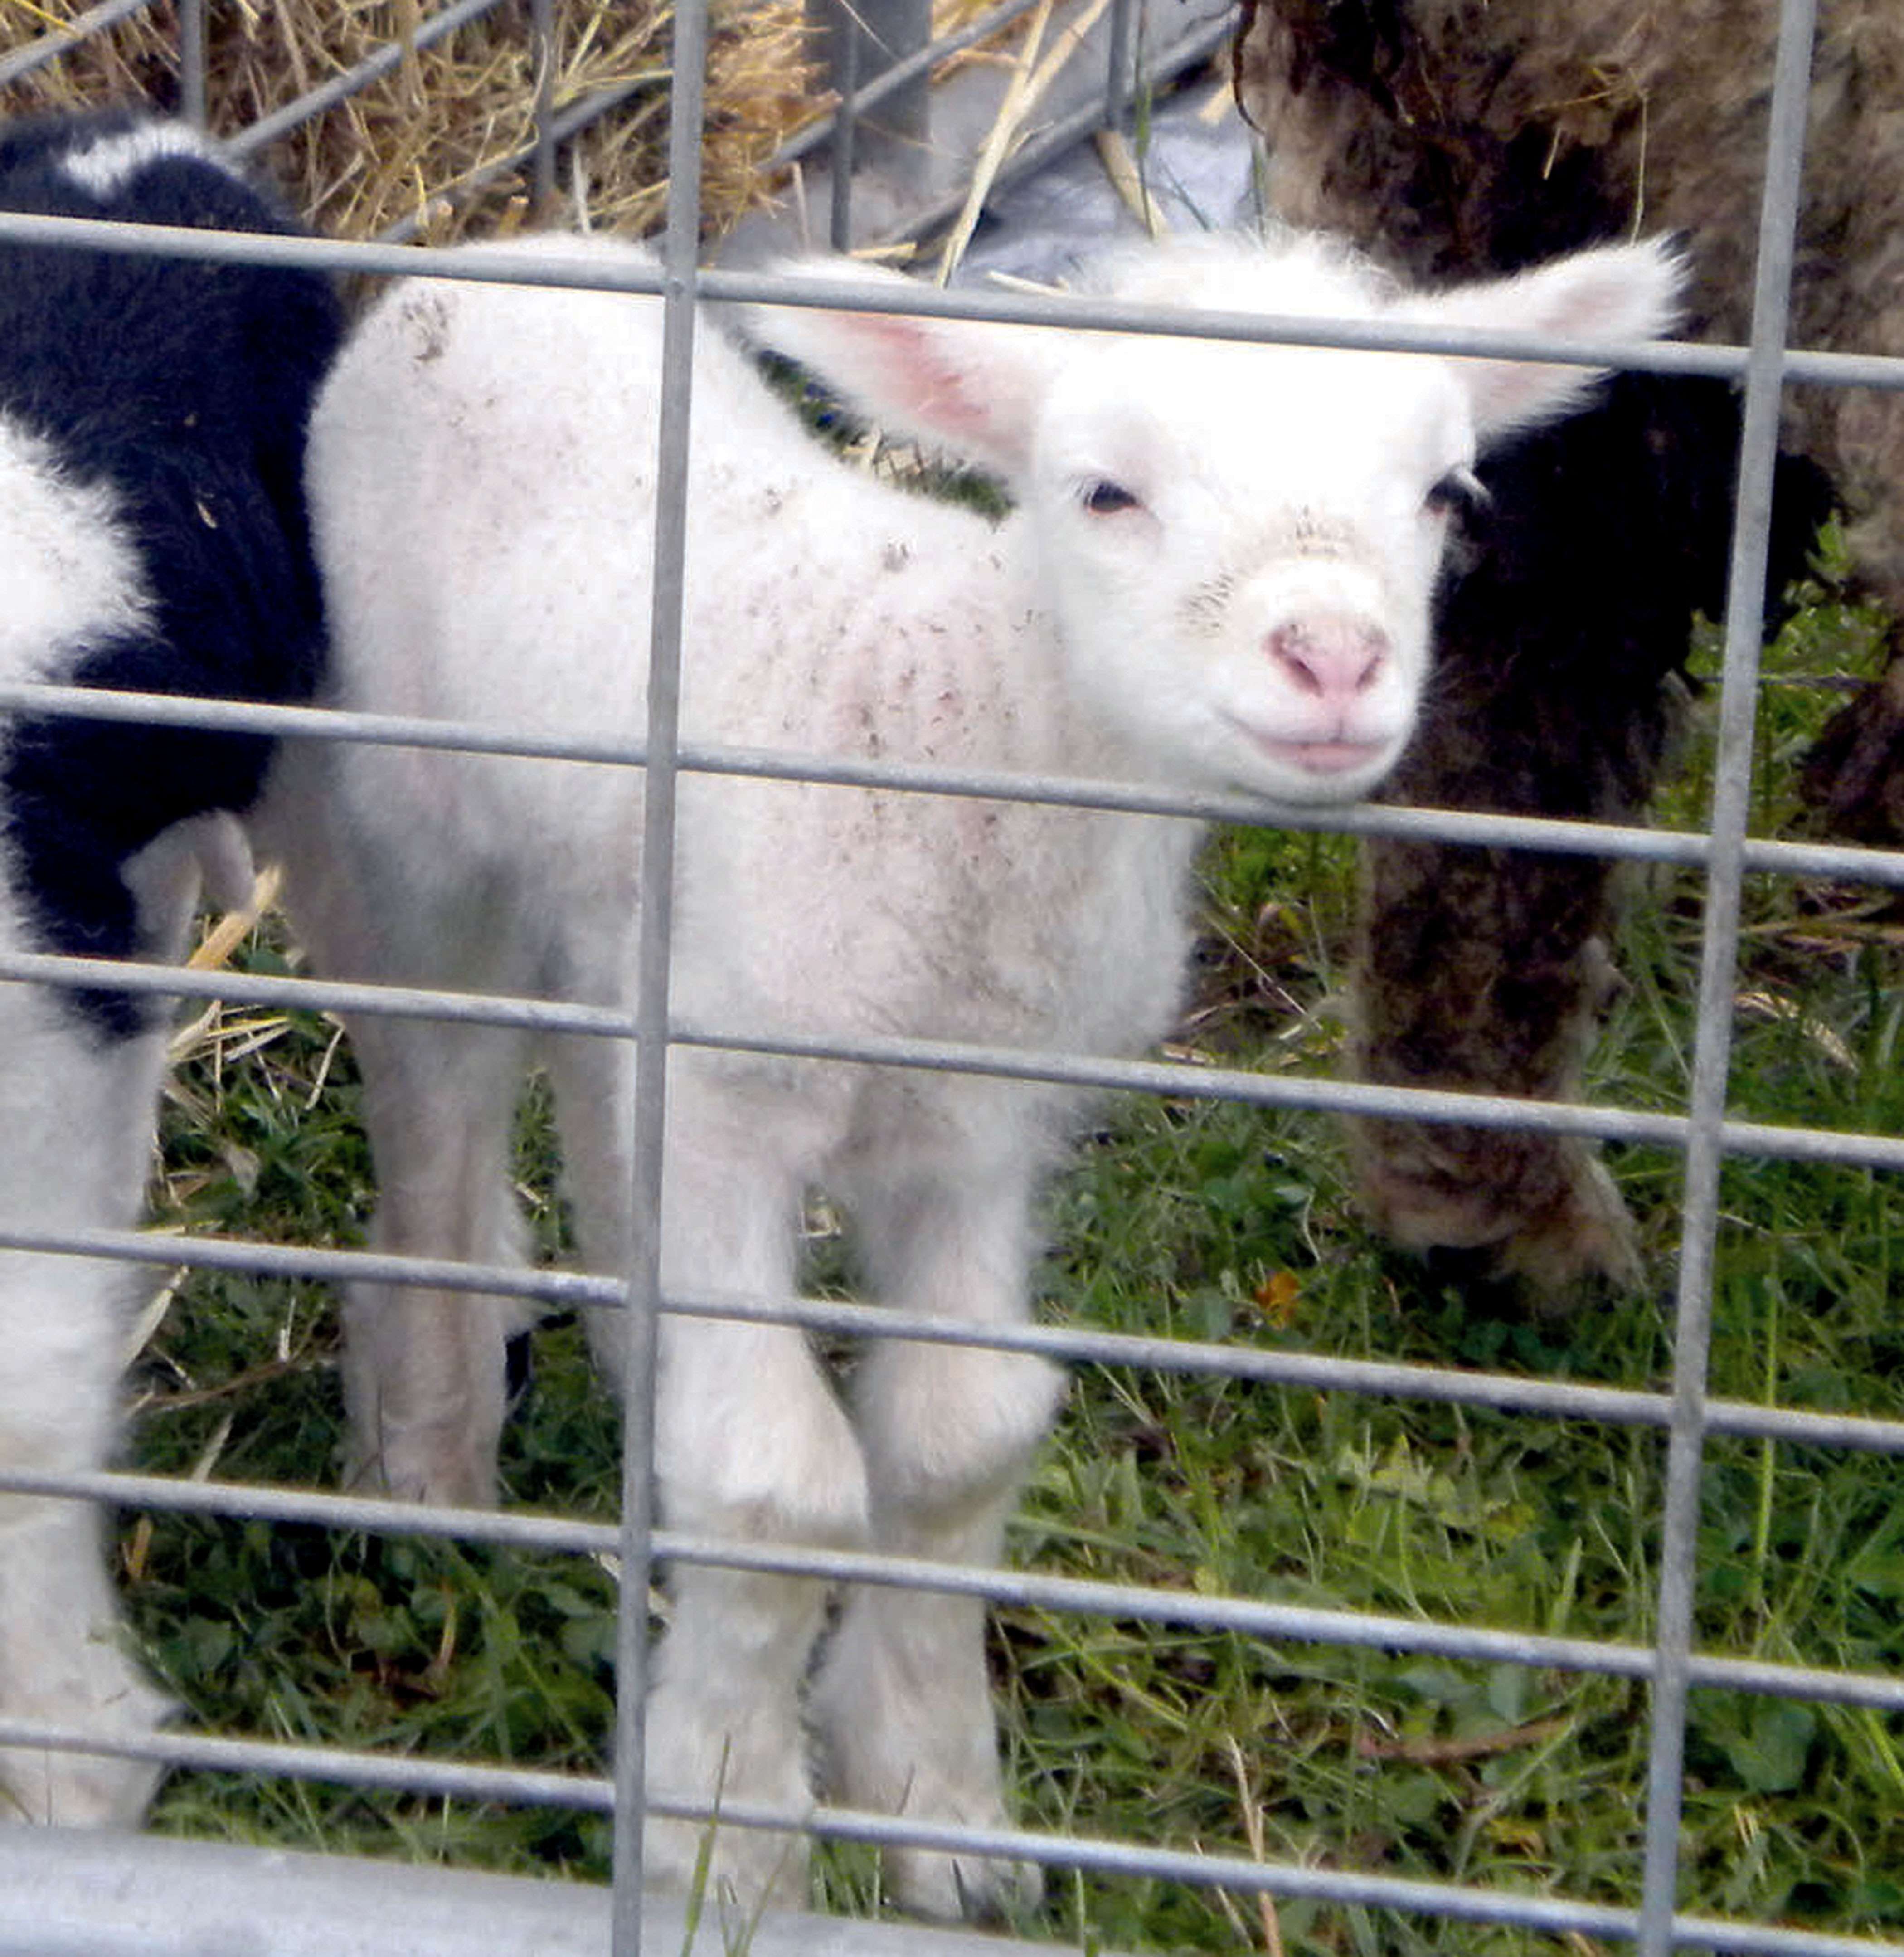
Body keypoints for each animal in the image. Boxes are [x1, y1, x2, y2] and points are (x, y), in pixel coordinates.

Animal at [268, 225, 1683, 1910]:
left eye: (1443, 497)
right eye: (1105, 491)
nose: (1332, 660)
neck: (955, 729)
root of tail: (503, 255)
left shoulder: (974, 1126)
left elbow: (957, 1442)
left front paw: (937, 1804)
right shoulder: (742, 1110)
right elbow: (776, 1475)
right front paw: (723, 1830)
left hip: (626, 929)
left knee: (598, 1110)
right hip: (410, 831)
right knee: (440, 1099)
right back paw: (425, 1456)